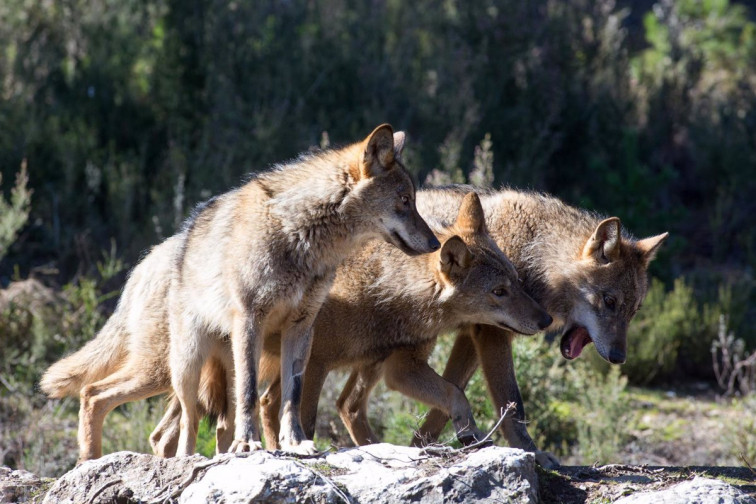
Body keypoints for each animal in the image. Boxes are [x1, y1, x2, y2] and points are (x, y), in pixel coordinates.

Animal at [40, 124, 440, 461]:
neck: (301, 236)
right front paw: (248, 444)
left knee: (194, 425)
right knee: (113, 401)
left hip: (208, 368)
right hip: (178, 367)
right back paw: (106, 461)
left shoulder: (301, 328)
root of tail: (146, 262)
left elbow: (292, 397)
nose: (437, 243)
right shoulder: (251, 320)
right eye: (405, 200)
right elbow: (250, 393)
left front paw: (295, 443)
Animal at [149, 191, 552, 457]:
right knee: (178, 428)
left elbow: (453, 392)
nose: (546, 319)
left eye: (517, 281)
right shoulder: (318, 366)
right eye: (499, 291)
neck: (382, 291)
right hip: (186, 373)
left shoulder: (396, 367)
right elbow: (307, 420)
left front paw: (466, 435)